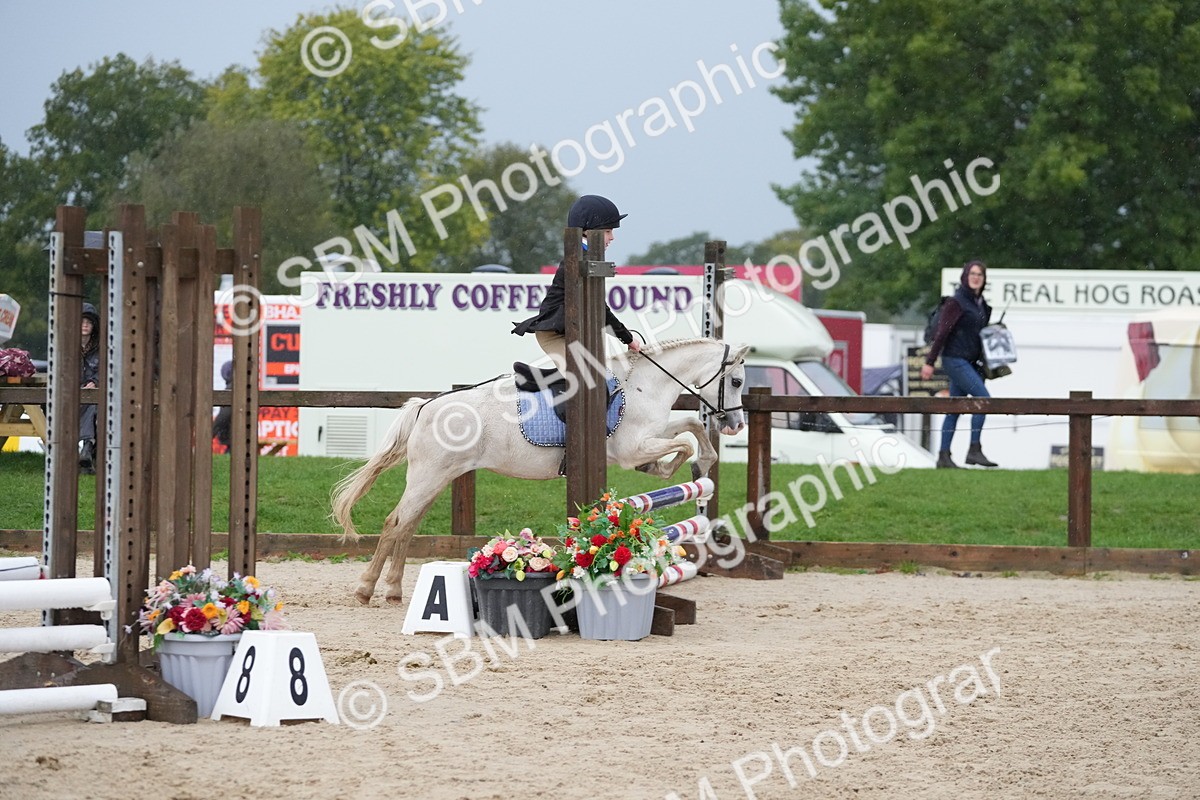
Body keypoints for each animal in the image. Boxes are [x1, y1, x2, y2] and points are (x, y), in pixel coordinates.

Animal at [331, 337, 751, 605]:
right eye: (737, 381)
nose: (735, 425)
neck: (644, 385)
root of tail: (425, 407)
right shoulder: (632, 449)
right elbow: (683, 443)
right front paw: (668, 468)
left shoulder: (653, 433)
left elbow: (692, 428)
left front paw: (702, 464)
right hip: (428, 477)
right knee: (394, 524)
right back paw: (366, 590)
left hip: (436, 479)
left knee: (406, 527)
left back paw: (393, 590)